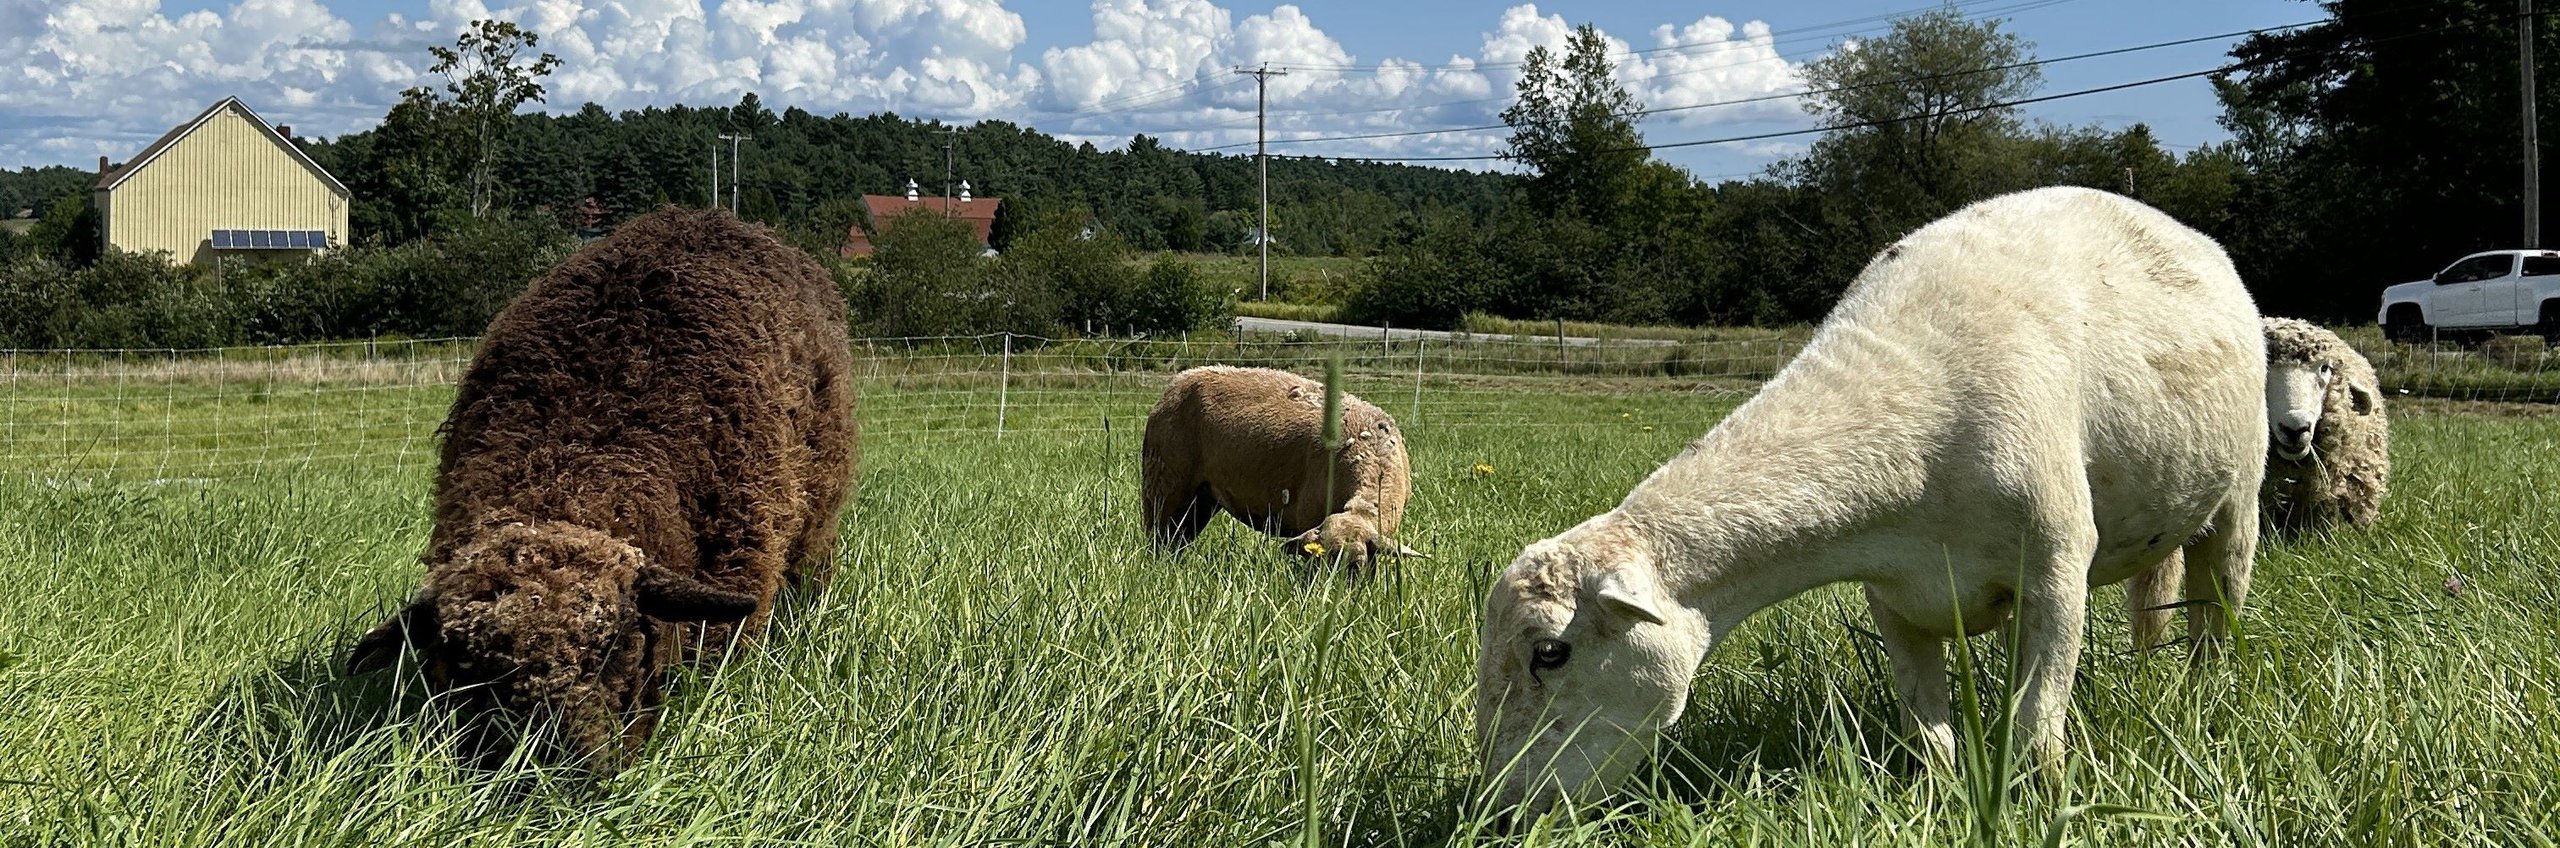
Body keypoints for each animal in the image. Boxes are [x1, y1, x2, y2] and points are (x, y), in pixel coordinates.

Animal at [1141, 365, 1422, 570]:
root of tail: (1181, 378)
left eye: (1355, 566)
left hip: (1202, 497)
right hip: (1165, 484)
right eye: (1318, 562)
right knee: (1160, 537)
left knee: (1180, 538)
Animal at [1474, 187, 2266, 816]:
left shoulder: (2056, 571)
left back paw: (2204, 701)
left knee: (2216, 605)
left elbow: (2039, 723)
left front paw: (2042, 803)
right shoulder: (1896, 597)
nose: (1500, 811)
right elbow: (1928, 729)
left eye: (1550, 652)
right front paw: (1941, 800)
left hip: (2241, 494)